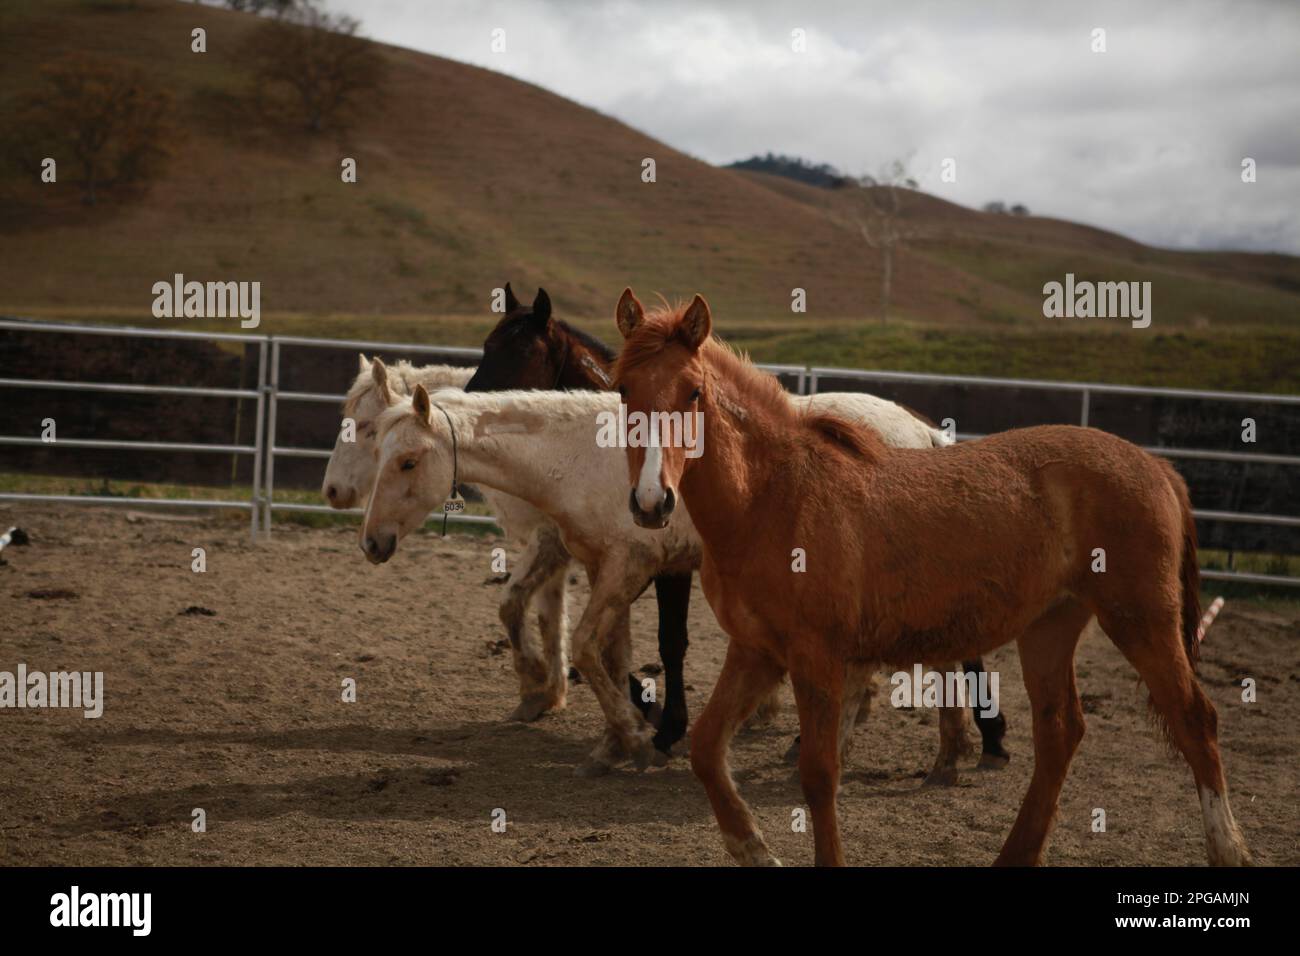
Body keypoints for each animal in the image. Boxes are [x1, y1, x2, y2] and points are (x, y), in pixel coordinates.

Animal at [361, 378, 998, 781]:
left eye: (409, 461)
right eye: (378, 454)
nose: (372, 542)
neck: (579, 454)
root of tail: (923, 435)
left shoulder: (629, 567)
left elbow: (588, 648)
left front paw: (637, 743)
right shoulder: (606, 568)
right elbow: (612, 655)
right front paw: (614, 745)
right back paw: (942, 757)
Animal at [612, 288, 1252, 867]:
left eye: (693, 391)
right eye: (622, 390)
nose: (651, 502)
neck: (776, 497)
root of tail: (1158, 467)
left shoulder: (816, 660)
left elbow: (818, 775)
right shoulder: (757, 652)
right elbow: (705, 749)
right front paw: (752, 848)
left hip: (1142, 621)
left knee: (1196, 720)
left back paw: (1230, 851)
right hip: (1049, 627)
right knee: (1060, 733)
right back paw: (1015, 855)